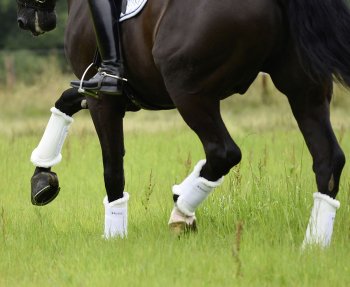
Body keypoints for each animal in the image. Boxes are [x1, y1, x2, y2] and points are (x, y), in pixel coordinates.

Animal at [17, 0, 350, 245]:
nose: (24, 21)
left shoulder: (103, 99)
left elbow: (113, 167)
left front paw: (114, 234)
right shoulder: (94, 89)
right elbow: (65, 101)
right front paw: (42, 179)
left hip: (188, 90)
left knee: (224, 152)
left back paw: (181, 211)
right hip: (304, 90)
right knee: (328, 160)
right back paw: (314, 244)